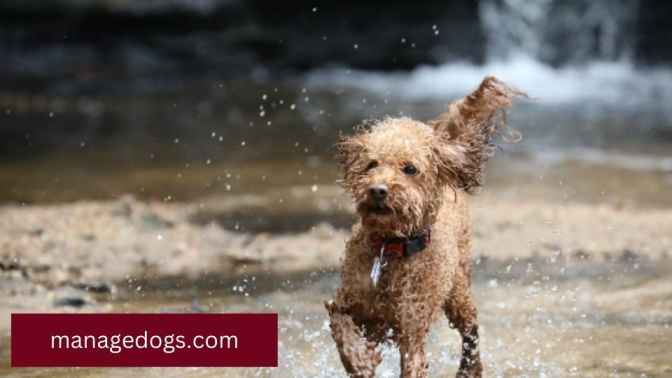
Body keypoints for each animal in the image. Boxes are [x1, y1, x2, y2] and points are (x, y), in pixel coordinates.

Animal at [322, 75, 524, 376]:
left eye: (410, 169)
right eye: (371, 164)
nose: (378, 190)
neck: (390, 249)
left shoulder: (411, 333)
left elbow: (413, 360)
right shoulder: (347, 301)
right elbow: (340, 325)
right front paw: (360, 359)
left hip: (458, 292)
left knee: (471, 329)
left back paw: (469, 367)